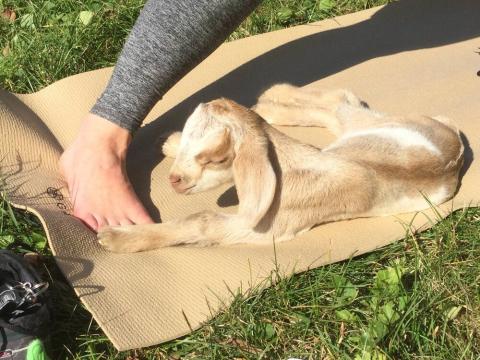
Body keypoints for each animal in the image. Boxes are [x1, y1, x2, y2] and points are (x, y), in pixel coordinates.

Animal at [98, 84, 464, 253]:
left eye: (216, 158)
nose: (175, 180)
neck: (284, 166)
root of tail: (455, 142)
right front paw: (173, 143)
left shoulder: (261, 228)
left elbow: (202, 221)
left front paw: (114, 238)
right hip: (367, 128)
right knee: (337, 103)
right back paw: (270, 101)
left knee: (337, 104)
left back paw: (269, 102)